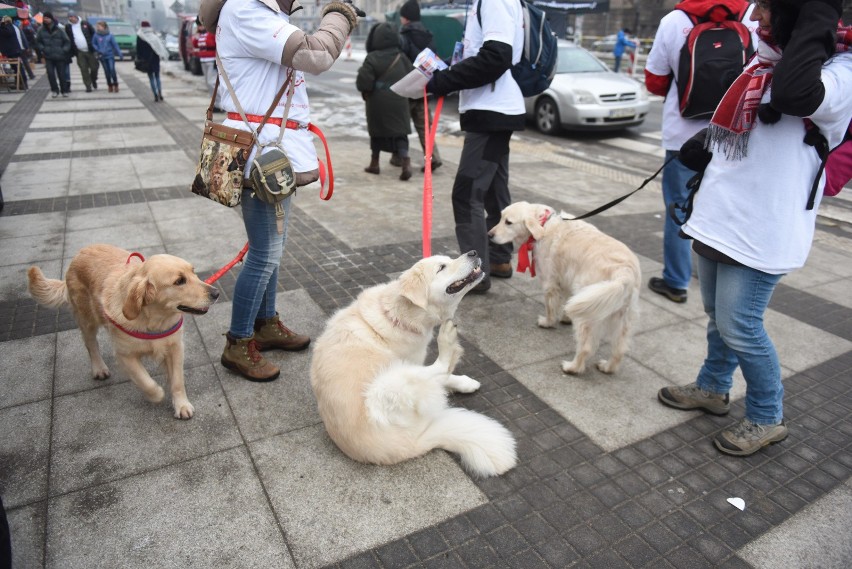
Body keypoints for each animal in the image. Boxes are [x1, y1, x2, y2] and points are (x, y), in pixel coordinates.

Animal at [310, 251, 516, 478]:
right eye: (441, 267)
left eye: (448, 259)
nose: (473, 252)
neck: (396, 315)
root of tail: (408, 445)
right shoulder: (413, 361)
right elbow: (442, 373)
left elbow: (446, 378)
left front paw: (465, 383)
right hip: (388, 384)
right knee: (439, 367)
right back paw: (447, 340)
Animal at [486, 202, 640, 374]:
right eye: (501, 218)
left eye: (508, 222)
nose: (489, 234)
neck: (543, 225)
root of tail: (625, 271)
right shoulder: (566, 280)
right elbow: (567, 301)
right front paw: (566, 317)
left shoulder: (549, 282)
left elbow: (550, 307)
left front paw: (548, 322)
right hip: (621, 315)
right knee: (619, 349)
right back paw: (607, 367)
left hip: (589, 313)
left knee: (586, 347)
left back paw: (572, 367)